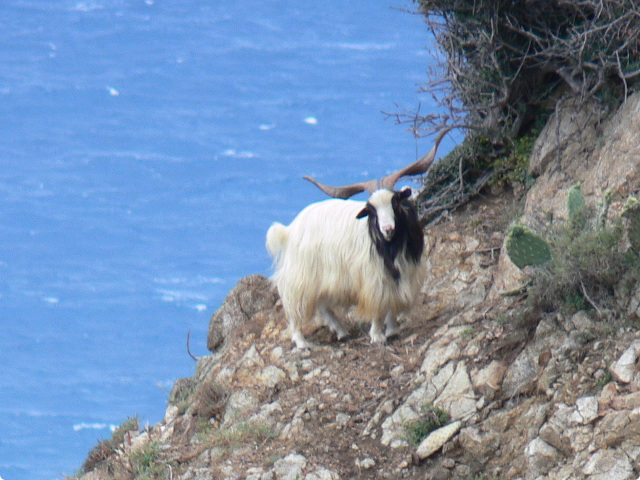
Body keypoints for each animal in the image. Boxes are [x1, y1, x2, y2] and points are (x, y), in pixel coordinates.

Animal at [264, 126, 450, 348]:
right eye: (371, 209)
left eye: (395, 201)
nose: (387, 229)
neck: (392, 246)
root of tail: (288, 230)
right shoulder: (373, 278)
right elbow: (378, 306)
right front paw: (377, 335)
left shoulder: (400, 275)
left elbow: (391, 305)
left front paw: (393, 330)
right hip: (301, 278)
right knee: (296, 309)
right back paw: (302, 343)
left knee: (322, 306)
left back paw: (341, 331)